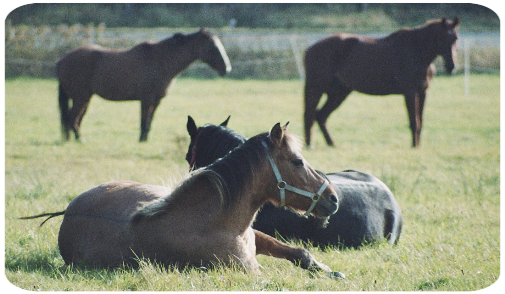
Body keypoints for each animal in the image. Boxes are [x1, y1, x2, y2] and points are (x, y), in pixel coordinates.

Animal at [22, 123, 338, 274]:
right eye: (297, 161)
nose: (334, 198)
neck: (216, 221)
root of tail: (68, 212)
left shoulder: (256, 236)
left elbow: (301, 253)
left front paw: (328, 271)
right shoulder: (249, 272)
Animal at [56, 29, 230, 142]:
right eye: (213, 46)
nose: (226, 69)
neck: (161, 61)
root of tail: (62, 60)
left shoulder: (156, 101)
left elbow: (149, 122)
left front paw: (144, 140)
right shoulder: (147, 99)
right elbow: (144, 121)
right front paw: (141, 140)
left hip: (84, 99)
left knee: (73, 119)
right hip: (81, 98)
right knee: (72, 118)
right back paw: (80, 140)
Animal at [304, 16, 460, 147]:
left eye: (455, 38)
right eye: (441, 38)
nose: (451, 66)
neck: (416, 52)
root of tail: (310, 49)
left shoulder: (422, 92)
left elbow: (420, 121)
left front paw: (418, 146)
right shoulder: (410, 93)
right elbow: (414, 122)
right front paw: (414, 146)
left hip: (338, 93)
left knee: (320, 116)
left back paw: (331, 144)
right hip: (315, 89)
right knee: (309, 116)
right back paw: (309, 145)